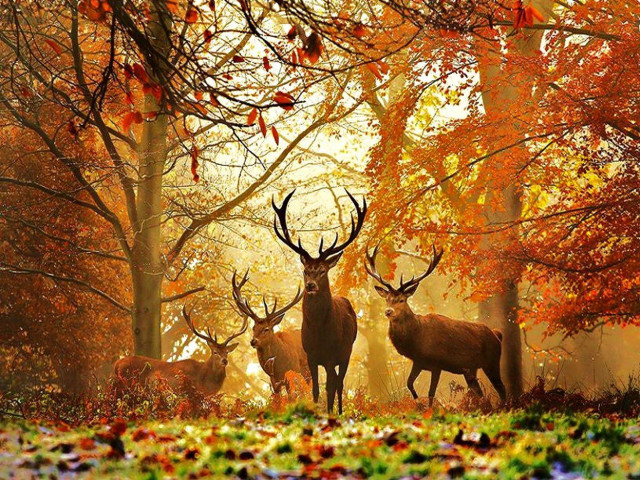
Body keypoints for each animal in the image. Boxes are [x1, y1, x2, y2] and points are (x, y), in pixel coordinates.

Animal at [272, 189, 366, 414]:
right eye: (306, 270)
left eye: (323, 270)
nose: (310, 285)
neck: (318, 332)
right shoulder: (311, 356)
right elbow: (315, 389)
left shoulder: (332, 355)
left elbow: (330, 387)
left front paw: (330, 413)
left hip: (346, 352)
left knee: (339, 383)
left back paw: (339, 412)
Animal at [365, 245, 506, 406]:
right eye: (387, 299)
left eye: (401, 300)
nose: (388, 311)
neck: (417, 340)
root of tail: (497, 335)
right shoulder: (419, 361)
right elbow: (409, 383)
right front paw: (418, 403)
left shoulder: (437, 363)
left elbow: (431, 393)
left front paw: (429, 408)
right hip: (470, 369)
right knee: (479, 392)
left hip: (492, 361)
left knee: (501, 388)